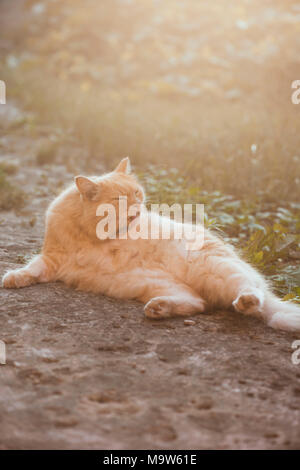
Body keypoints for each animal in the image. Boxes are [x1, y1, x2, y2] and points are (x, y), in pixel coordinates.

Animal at [2, 157, 300, 330]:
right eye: (120, 200)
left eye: (137, 193)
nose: (137, 208)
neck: (90, 236)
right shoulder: (52, 257)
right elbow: (31, 268)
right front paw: (14, 278)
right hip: (157, 284)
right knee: (198, 302)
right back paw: (159, 308)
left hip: (218, 268)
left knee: (252, 293)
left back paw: (246, 301)